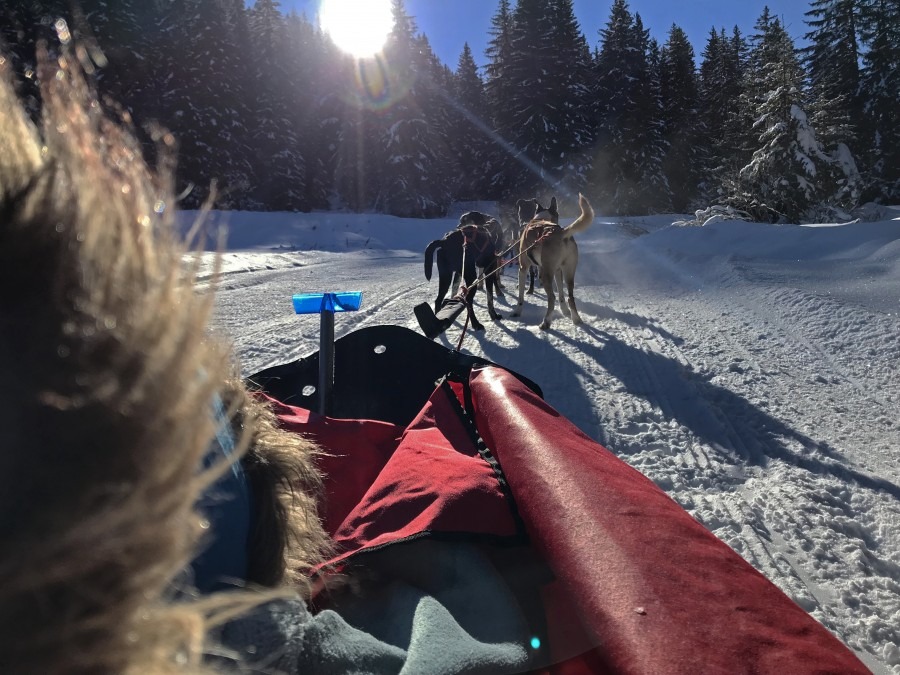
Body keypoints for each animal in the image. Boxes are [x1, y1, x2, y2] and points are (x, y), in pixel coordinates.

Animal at [510, 194, 596, 332]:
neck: (541, 219)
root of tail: (561, 233)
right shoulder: (558, 271)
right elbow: (561, 294)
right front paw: (565, 311)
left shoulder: (523, 268)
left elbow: (520, 297)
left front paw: (517, 311)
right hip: (568, 273)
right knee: (570, 297)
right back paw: (576, 319)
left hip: (545, 274)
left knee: (552, 298)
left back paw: (546, 322)